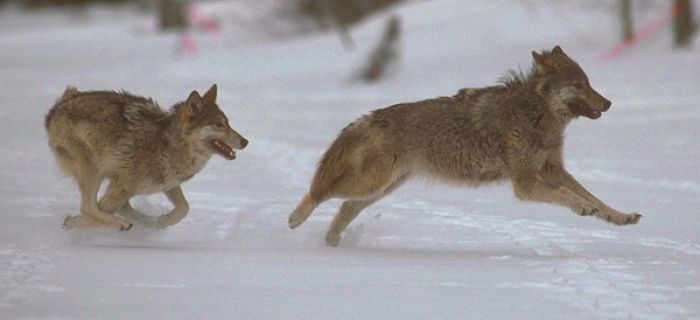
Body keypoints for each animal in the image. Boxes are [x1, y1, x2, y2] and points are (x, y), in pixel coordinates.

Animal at [46, 84, 249, 230]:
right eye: (219, 125)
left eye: (228, 123)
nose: (246, 141)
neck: (168, 145)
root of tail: (56, 108)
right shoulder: (121, 186)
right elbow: (94, 210)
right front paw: (73, 222)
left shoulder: (168, 183)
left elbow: (184, 207)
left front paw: (163, 221)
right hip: (92, 170)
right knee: (88, 206)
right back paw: (121, 223)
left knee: (117, 207)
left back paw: (147, 221)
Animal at [288, 45, 644, 245]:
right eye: (578, 84)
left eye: (589, 83)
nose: (609, 103)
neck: (536, 114)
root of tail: (370, 117)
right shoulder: (525, 183)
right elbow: (570, 197)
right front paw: (583, 209)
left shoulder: (553, 169)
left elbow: (594, 197)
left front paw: (618, 216)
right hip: (371, 185)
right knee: (319, 194)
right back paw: (296, 220)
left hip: (380, 189)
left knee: (344, 207)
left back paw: (333, 242)